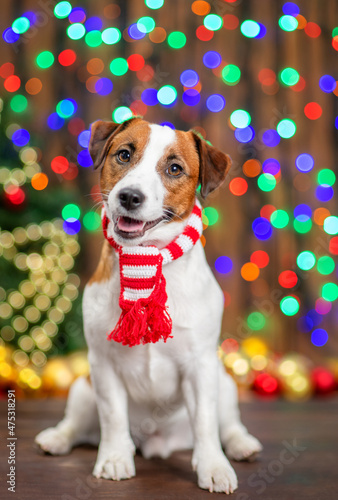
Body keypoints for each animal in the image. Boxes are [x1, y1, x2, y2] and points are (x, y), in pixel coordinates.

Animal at [35, 116, 262, 492]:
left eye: (174, 168)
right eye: (124, 154)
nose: (129, 196)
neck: (146, 257)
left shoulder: (201, 367)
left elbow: (205, 421)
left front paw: (213, 466)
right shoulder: (104, 364)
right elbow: (113, 417)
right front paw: (114, 457)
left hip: (225, 382)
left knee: (228, 423)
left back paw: (242, 444)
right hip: (83, 386)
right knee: (78, 425)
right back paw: (57, 438)